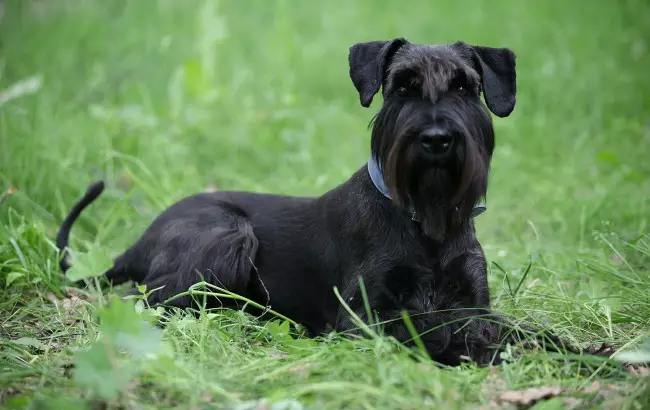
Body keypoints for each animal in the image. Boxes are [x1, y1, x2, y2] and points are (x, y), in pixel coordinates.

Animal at [55, 38, 568, 366]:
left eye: (464, 86)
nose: (437, 139)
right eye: (402, 86)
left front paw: (573, 352)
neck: (426, 218)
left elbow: (523, 330)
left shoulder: (474, 302)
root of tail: (140, 241)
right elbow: (427, 328)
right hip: (227, 236)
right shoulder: (360, 317)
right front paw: (470, 350)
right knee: (149, 300)